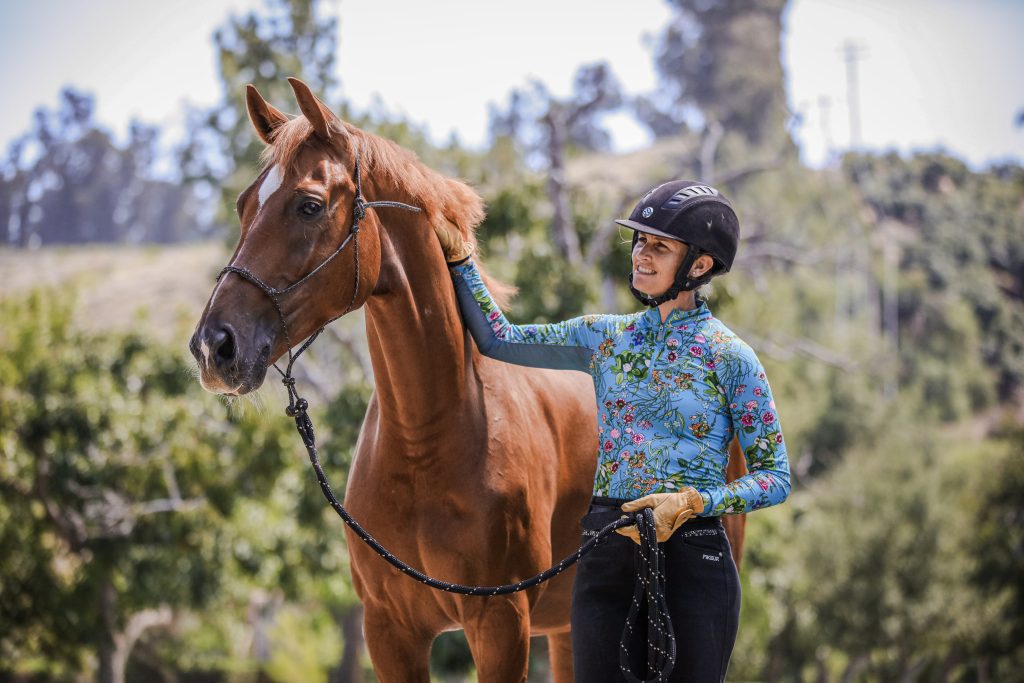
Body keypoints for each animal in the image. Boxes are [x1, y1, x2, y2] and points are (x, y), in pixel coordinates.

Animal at [189, 77, 748, 682]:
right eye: (244, 204)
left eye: (309, 205)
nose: (214, 346)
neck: (426, 442)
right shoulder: (389, 631)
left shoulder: (500, 623)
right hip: (570, 628)